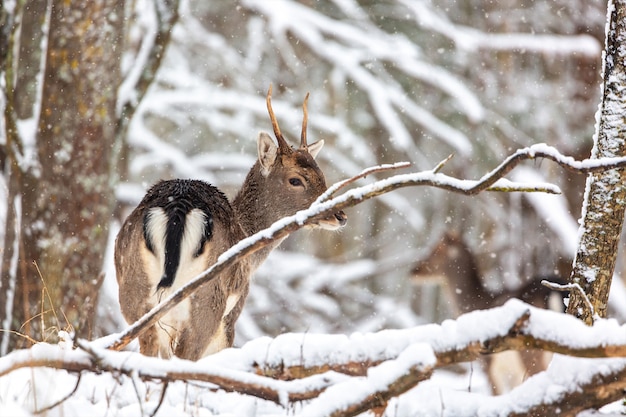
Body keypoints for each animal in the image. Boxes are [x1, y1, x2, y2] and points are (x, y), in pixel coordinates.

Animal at [113, 86, 346, 360]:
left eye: (322, 175)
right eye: (296, 180)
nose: (340, 215)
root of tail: (177, 207)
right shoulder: (233, 312)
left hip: (134, 297)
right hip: (208, 300)